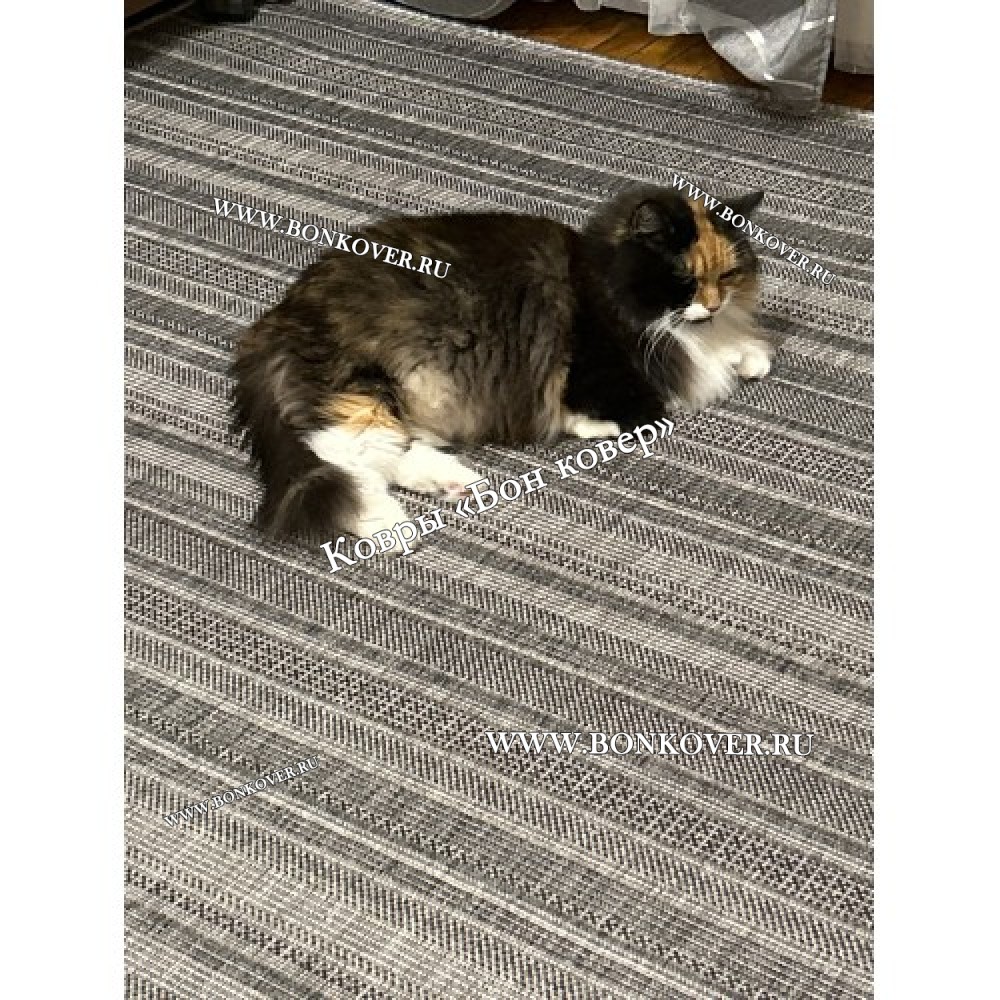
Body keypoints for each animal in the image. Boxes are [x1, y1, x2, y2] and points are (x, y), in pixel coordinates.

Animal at [230, 183, 774, 548]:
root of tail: (275, 318)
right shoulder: (609, 371)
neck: (605, 281)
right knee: (344, 458)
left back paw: (455, 483)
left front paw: (750, 355)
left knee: (390, 453)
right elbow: (654, 402)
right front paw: (597, 426)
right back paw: (389, 522)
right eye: (684, 278)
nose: (714, 304)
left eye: (727, 275)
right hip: (363, 387)